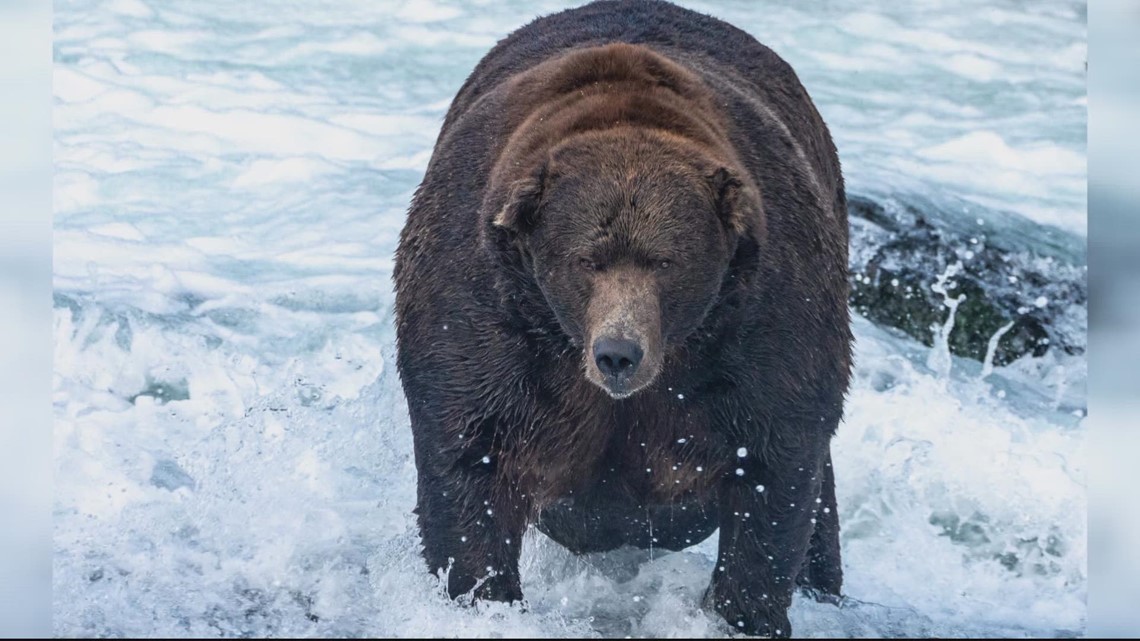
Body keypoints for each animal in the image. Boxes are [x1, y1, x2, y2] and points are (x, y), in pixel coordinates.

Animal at [393, 1, 852, 636]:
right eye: (586, 259)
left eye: (665, 260)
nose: (618, 353)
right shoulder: (486, 309)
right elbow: (470, 456)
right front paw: (483, 595)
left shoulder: (764, 316)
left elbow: (772, 468)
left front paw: (745, 610)